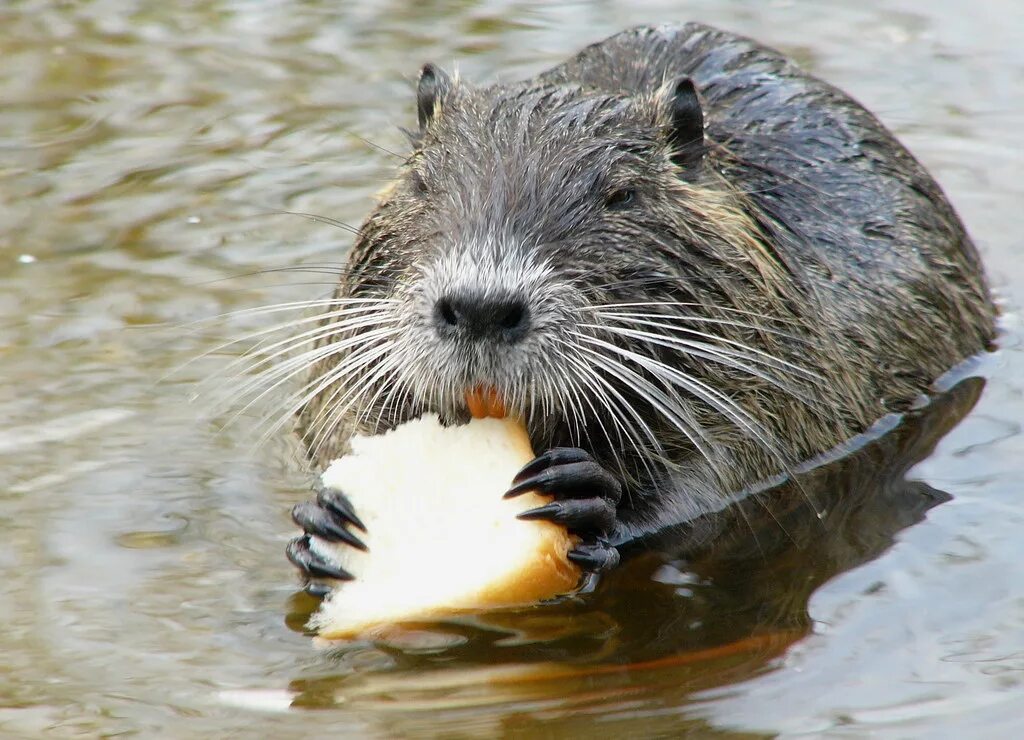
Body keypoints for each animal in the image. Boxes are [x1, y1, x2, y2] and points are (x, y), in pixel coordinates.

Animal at [280, 23, 991, 589]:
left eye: (620, 195)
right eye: (423, 182)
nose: (481, 309)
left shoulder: (792, 356)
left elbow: (736, 469)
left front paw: (588, 493)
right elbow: (327, 415)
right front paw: (322, 519)